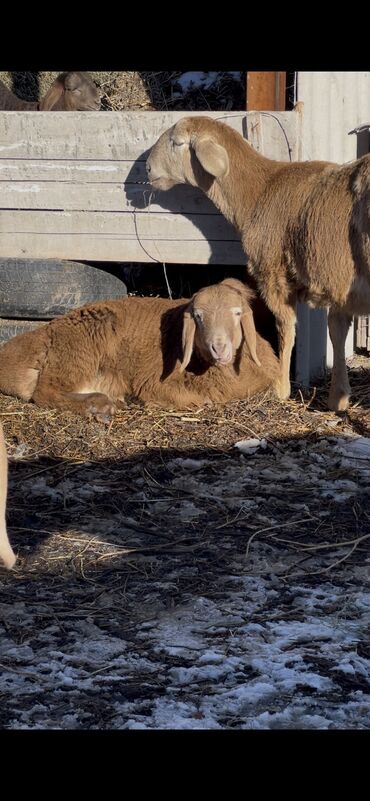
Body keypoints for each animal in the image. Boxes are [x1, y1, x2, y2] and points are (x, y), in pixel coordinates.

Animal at [0, 278, 278, 418]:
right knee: (45, 391)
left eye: (237, 313)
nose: (218, 348)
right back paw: (100, 405)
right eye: (198, 317)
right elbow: (196, 399)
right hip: (78, 349)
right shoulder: (155, 381)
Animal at [145, 115, 370, 412]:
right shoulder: (339, 283)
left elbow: (285, 328)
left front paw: (281, 388)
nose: (147, 169)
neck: (258, 192)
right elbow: (337, 330)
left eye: (176, 142)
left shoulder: (273, 272)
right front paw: (339, 398)